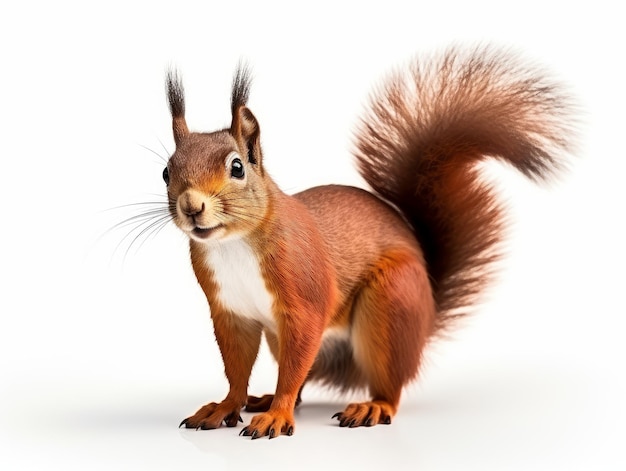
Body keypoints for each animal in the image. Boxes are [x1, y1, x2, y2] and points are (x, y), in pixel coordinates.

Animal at [162, 46, 576, 440]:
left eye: (237, 167)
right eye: (166, 171)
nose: (192, 206)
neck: (232, 244)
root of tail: (427, 311)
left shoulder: (304, 296)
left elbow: (294, 362)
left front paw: (277, 416)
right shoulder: (230, 312)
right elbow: (236, 369)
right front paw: (225, 406)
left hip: (390, 305)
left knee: (384, 384)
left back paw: (371, 407)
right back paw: (264, 399)